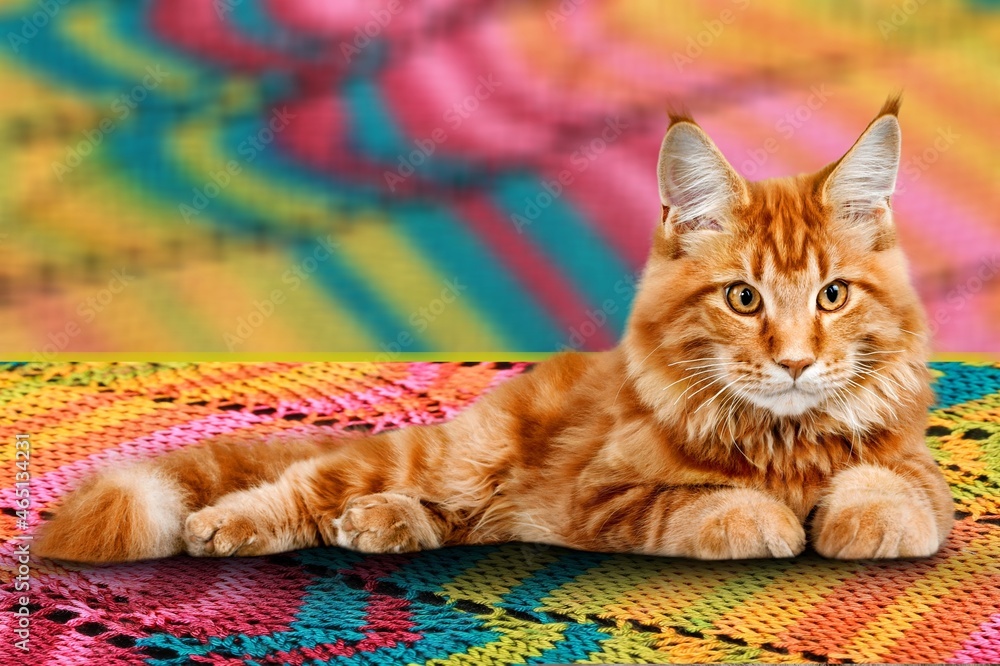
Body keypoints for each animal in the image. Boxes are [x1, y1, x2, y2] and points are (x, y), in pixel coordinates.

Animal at [33, 97, 952, 560]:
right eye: (744, 299)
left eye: (831, 296)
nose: (795, 362)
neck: (781, 442)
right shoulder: (605, 496)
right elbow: (711, 509)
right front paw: (771, 519)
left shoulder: (917, 472)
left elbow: (896, 494)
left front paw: (855, 516)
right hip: (451, 456)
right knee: (311, 480)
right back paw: (229, 525)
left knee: (436, 515)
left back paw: (379, 524)